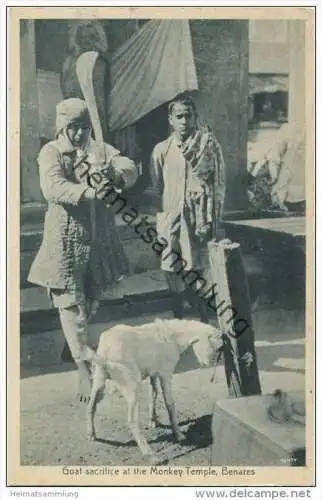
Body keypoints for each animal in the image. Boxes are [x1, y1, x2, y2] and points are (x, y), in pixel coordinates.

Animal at [84, 318, 223, 462]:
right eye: (215, 347)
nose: (208, 363)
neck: (172, 336)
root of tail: (106, 351)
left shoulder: (153, 374)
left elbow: (153, 395)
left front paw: (153, 421)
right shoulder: (165, 374)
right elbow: (169, 403)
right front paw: (179, 435)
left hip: (98, 380)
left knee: (90, 406)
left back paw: (91, 434)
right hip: (132, 388)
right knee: (132, 420)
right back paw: (150, 455)